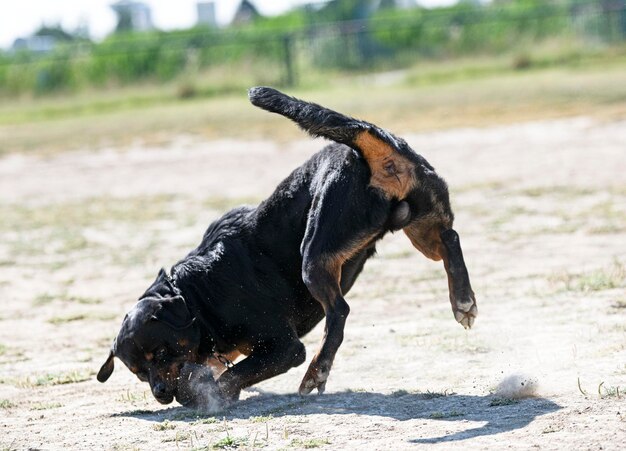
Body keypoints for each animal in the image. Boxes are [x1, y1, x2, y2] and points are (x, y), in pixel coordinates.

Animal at [97, 86, 476, 408]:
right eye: (138, 372)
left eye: (161, 354)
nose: (160, 393)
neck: (197, 297)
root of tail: (365, 146)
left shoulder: (283, 347)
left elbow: (233, 375)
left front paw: (211, 395)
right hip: (421, 222)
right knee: (450, 239)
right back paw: (462, 300)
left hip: (315, 253)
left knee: (339, 312)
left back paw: (316, 372)